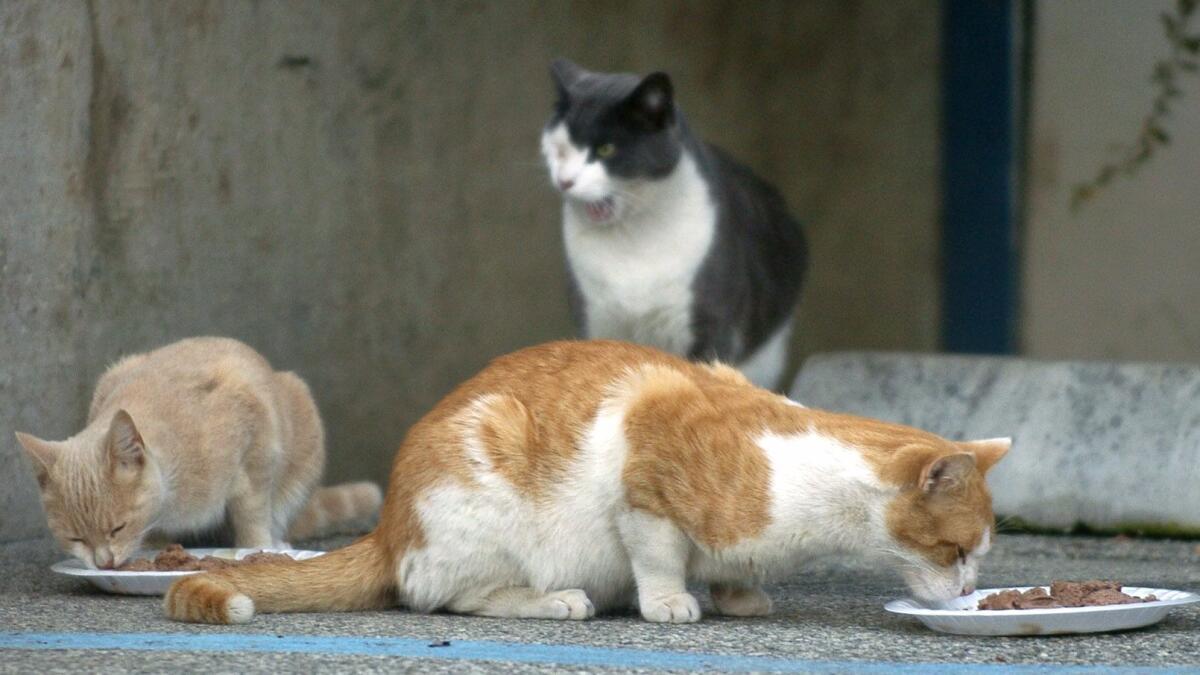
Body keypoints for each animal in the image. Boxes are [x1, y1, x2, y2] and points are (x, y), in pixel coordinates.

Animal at [14, 336, 379, 566]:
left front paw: (259, 550)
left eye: (117, 527)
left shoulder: (255, 452)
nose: (104, 564)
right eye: (75, 538)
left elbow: (253, 513)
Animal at [166, 338, 1012, 624]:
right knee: (450, 596)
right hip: (483, 487)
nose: (973, 588)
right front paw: (670, 601)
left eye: (979, 555)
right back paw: (556, 600)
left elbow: (734, 567)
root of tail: (389, 527)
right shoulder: (645, 473)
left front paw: (740, 595)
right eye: (957, 550)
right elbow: (659, 554)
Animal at [542, 58, 806, 389]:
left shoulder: (710, 324)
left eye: (606, 149)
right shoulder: (594, 318)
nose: (564, 181)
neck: (632, 240)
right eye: (559, 148)